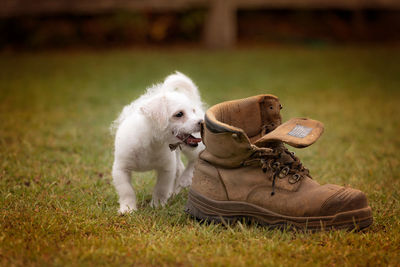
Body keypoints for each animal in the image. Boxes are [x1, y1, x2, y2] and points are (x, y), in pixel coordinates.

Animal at [111, 72, 205, 215]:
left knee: (195, 158)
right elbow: (127, 191)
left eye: (192, 111)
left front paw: (157, 206)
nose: (201, 122)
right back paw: (174, 191)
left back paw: (185, 178)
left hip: (191, 148)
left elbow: (160, 189)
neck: (152, 142)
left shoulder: (166, 168)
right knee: (180, 168)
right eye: (179, 114)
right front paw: (128, 209)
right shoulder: (120, 169)